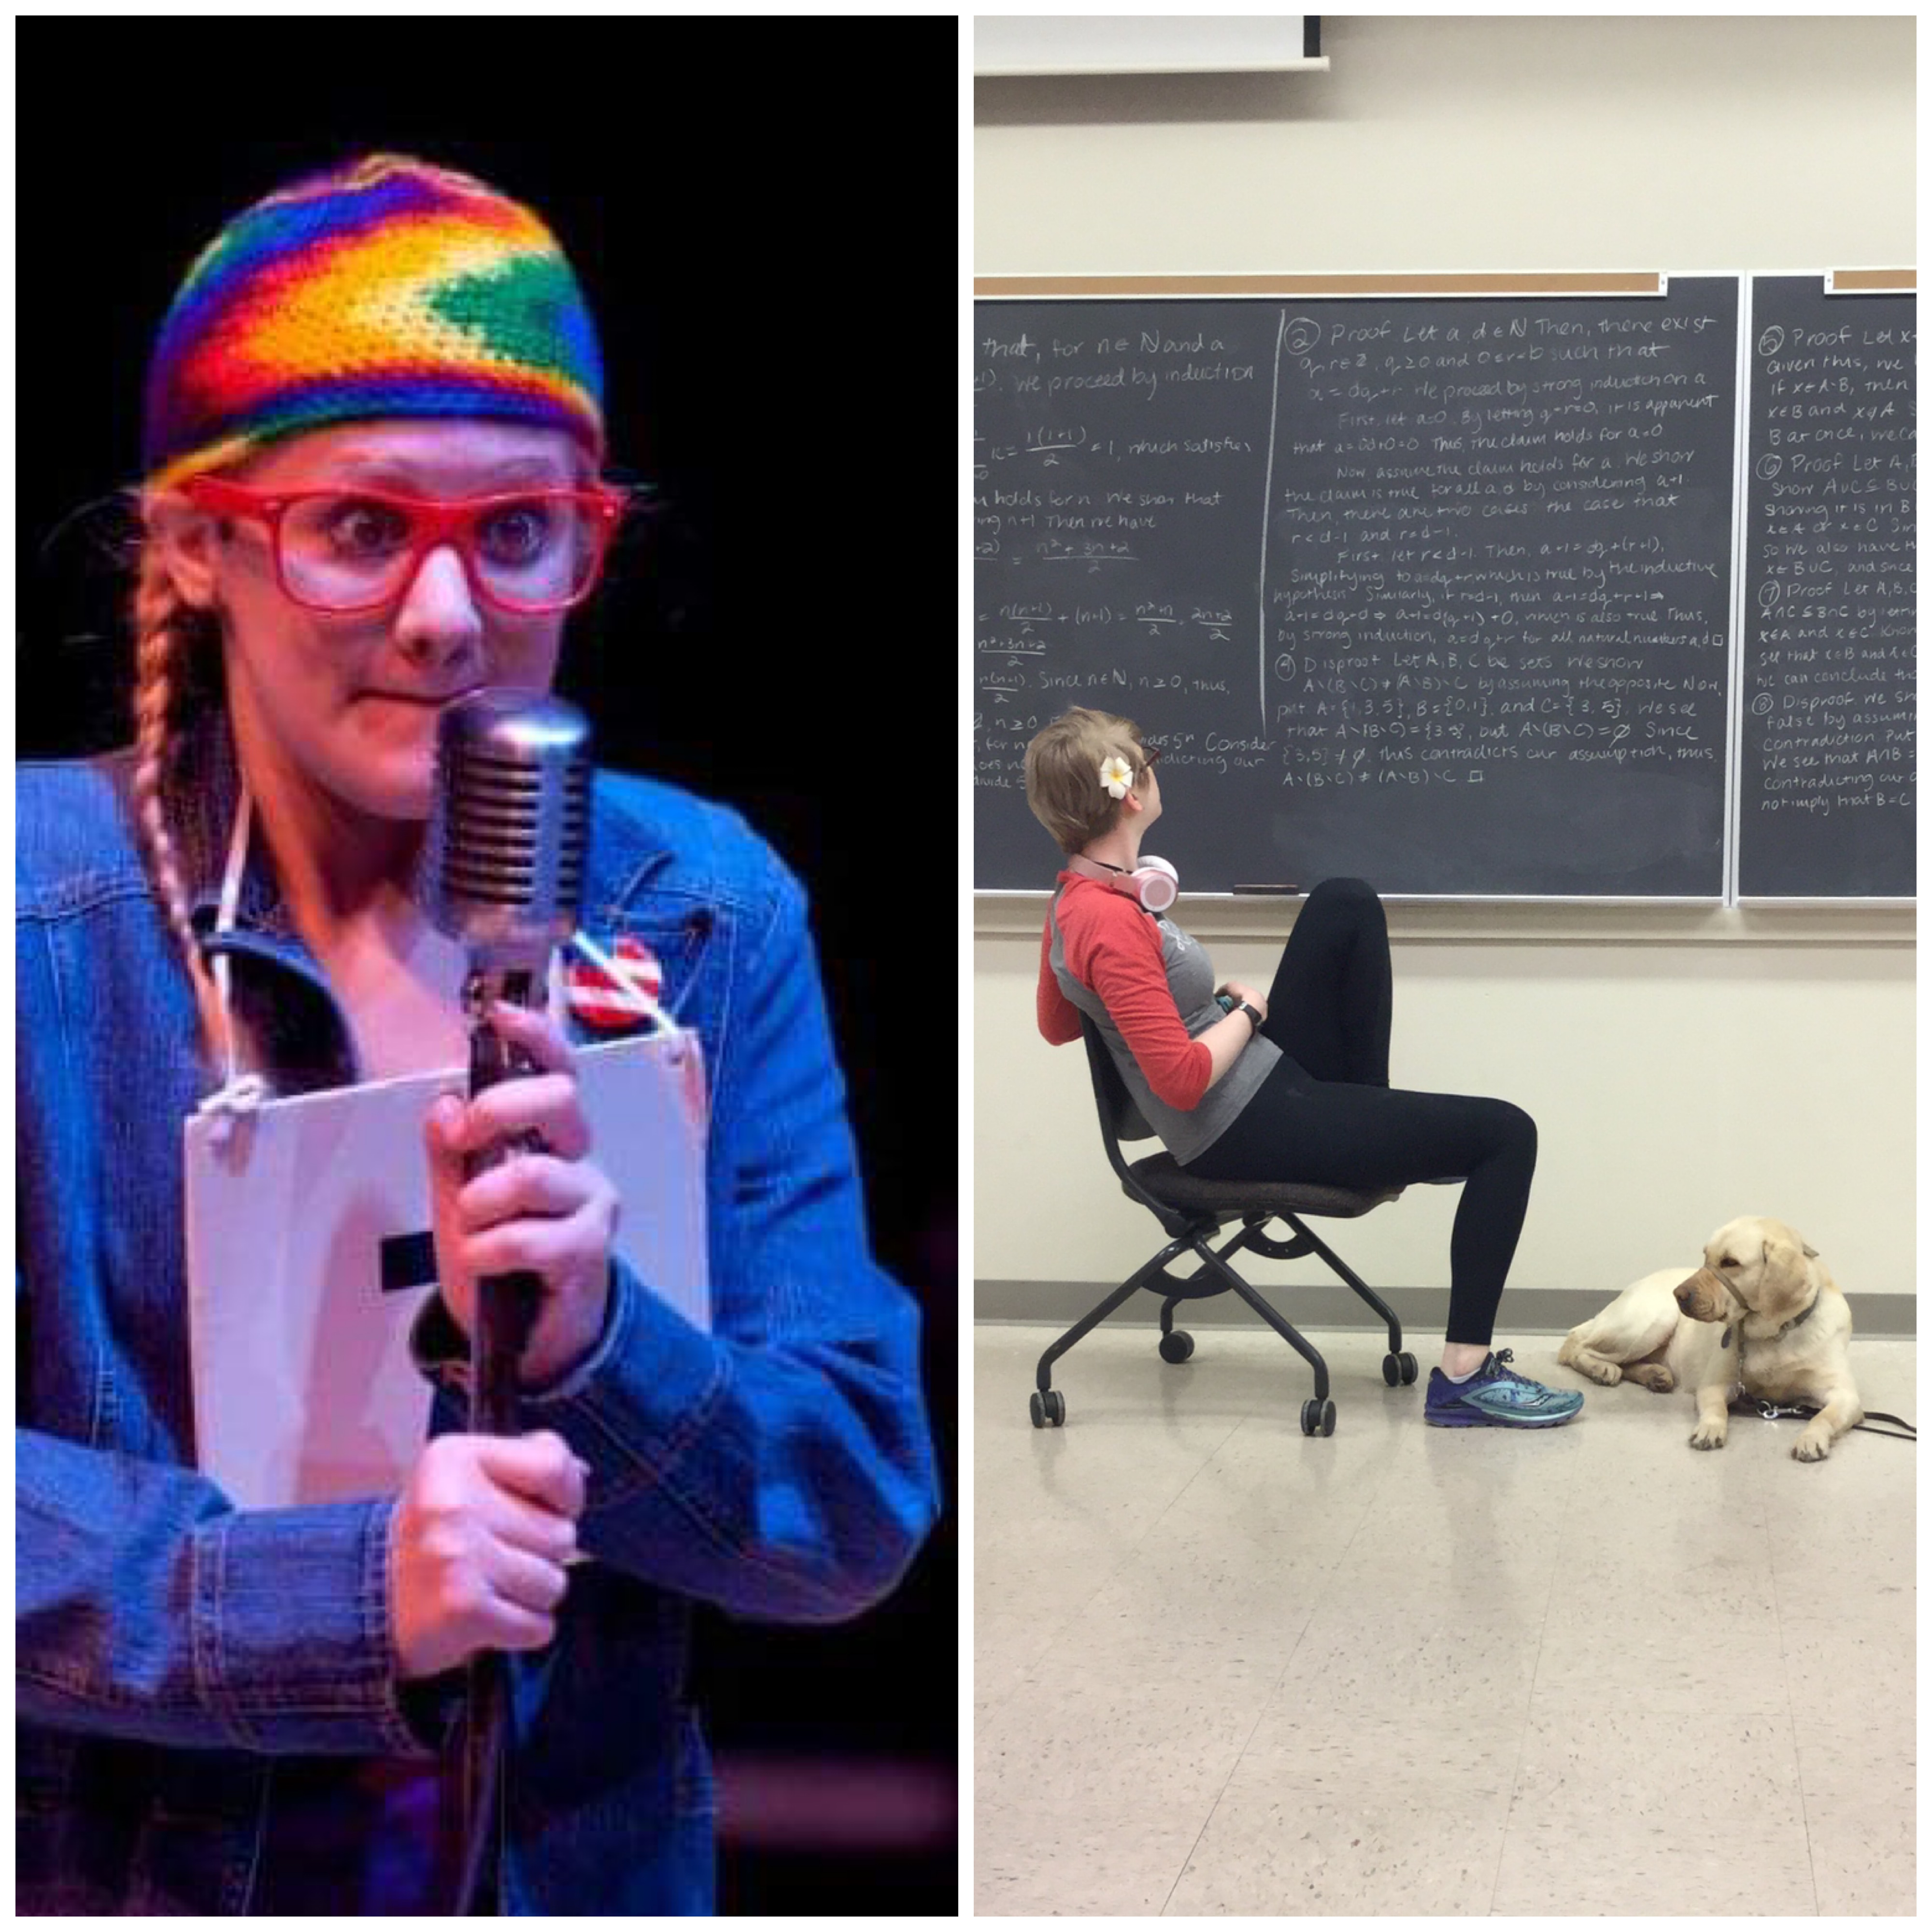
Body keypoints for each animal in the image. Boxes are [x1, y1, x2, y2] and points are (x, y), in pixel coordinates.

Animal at [1553, 1213, 1855, 1453]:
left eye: (1730, 1262)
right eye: (1706, 1257)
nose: (1678, 1294)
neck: (1775, 1333)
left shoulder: (1844, 1395)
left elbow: (1823, 1417)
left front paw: (1811, 1439)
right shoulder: (1715, 1384)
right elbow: (1716, 1410)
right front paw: (1710, 1429)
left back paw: (1655, 1375)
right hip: (1649, 1323)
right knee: (1577, 1347)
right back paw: (1602, 1370)